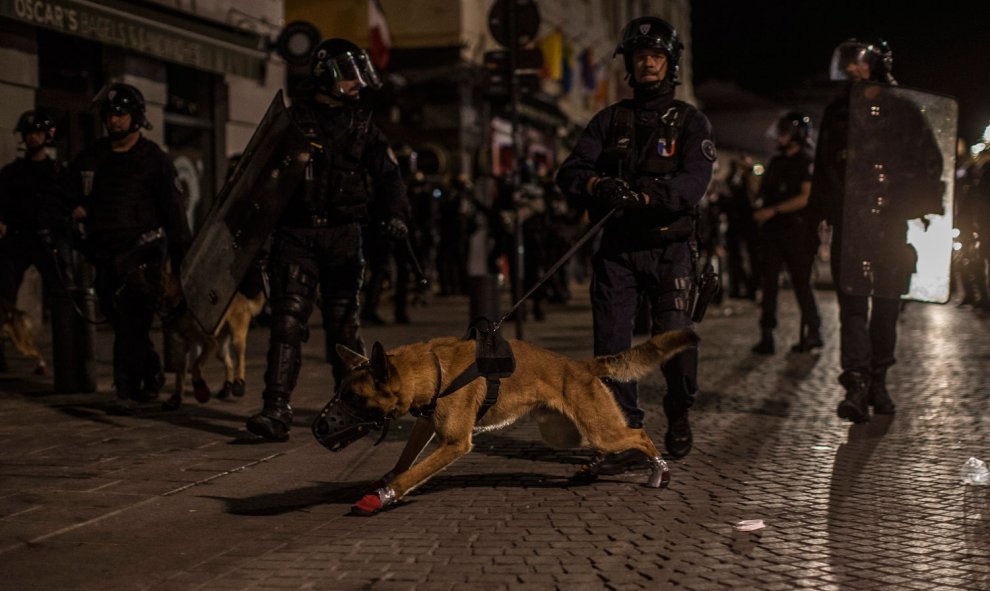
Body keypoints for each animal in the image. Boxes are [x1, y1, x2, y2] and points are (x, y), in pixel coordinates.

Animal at [157, 274, 264, 410]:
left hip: (236, 339)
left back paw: (239, 382)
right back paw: (226, 388)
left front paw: (200, 387)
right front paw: (176, 399)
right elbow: (179, 378)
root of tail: (242, 296)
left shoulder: (209, 344)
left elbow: (196, 365)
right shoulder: (183, 351)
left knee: (240, 359)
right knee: (229, 363)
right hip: (220, 349)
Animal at [334, 330, 696, 516]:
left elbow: (411, 473)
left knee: (640, 434)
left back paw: (659, 469)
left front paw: (383, 496)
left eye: (353, 398)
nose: (323, 428)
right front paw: (383, 482)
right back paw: (598, 466)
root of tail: (581, 365)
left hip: (600, 430)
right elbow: (404, 461)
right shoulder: (426, 426)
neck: (433, 369)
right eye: (340, 392)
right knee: (616, 437)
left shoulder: (454, 443)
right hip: (570, 433)